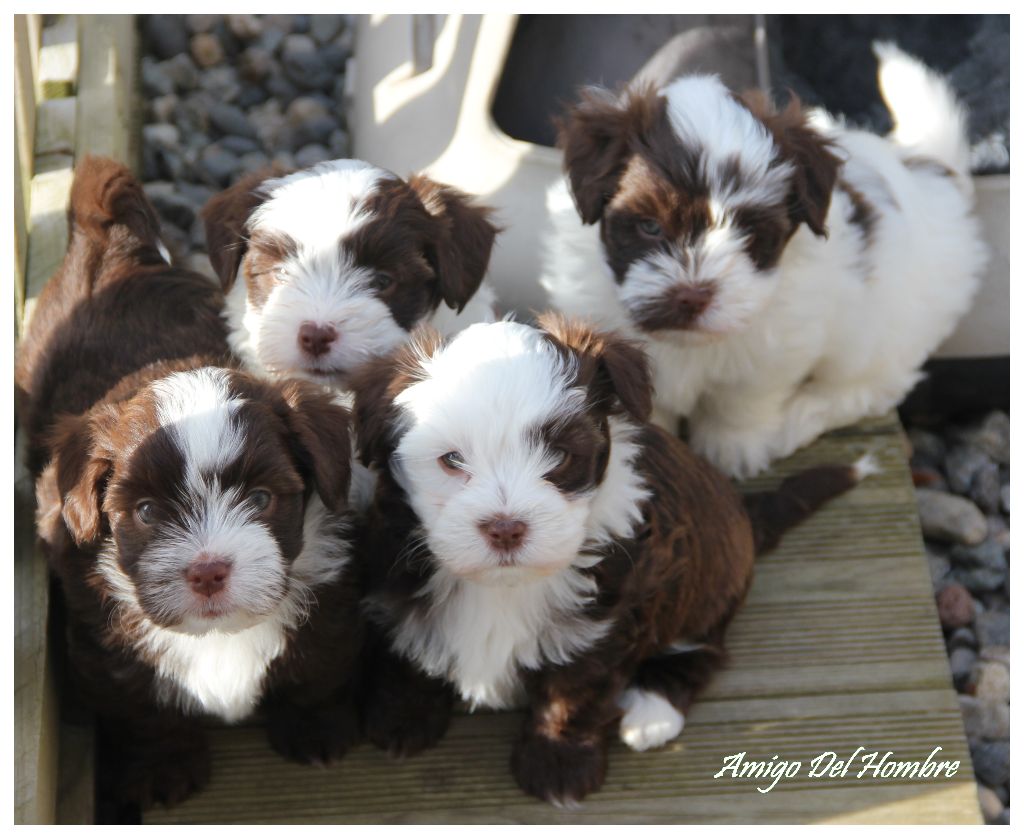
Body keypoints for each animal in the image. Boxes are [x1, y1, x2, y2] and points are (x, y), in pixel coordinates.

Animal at [14, 155, 364, 807]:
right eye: (148, 512)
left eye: (261, 499)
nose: (207, 571)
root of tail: (112, 244)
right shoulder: (105, 645)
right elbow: (143, 709)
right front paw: (164, 766)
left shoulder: (330, 598)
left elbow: (317, 666)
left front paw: (314, 730)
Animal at [352, 315, 872, 807]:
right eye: (452, 460)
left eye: (561, 455)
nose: (505, 528)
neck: (506, 586)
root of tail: (743, 513)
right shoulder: (397, 584)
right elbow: (410, 652)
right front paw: (403, 719)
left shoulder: (603, 622)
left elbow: (574, 693)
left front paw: (558, 766)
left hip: (708, 583)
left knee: (702, 649)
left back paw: (651, 709)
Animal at [540, 45, 987, 479]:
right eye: (650, 226)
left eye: (750, 232)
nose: (692, 296)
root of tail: (930, 173)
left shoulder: (779, 343)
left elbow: (744, 398)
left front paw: (733, 447)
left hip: (884, 331)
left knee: (867, 385)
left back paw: (800, 417)